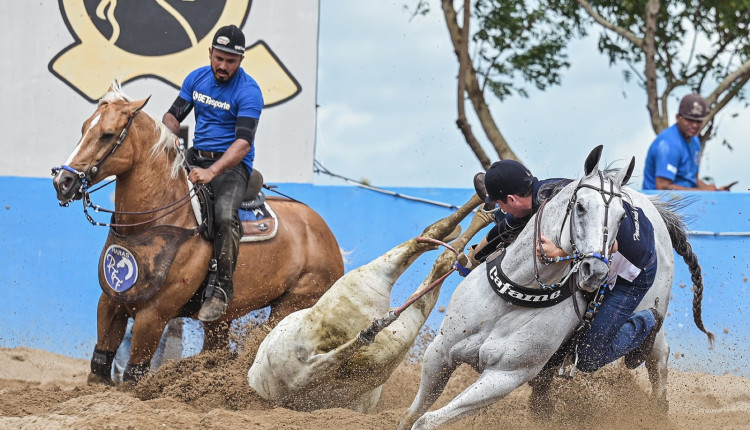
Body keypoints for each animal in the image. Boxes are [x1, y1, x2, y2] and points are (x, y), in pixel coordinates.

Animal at [53, 81, 346, 382]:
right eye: (84, 128)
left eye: (107, 134)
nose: (63, 181)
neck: (155, 220)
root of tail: (326, 234)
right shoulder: (110, 303)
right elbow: (99, 366)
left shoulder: (153, 315)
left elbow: (134, 374)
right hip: (220, 322)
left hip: (293, 304)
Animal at [247, 193, 494, 412]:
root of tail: (303, 374)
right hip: (376, 295)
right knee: (431, 250)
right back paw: (479, 214)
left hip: (384, 339)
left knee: (431, 257)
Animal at [396, 146, 712, 428]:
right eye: (580, 206)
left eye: (622, 216)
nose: (596, 271)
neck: (514, 296)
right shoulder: (440, 353)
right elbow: (412, 414)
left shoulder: (505, 376)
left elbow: (426, 420)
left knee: (655, 352)